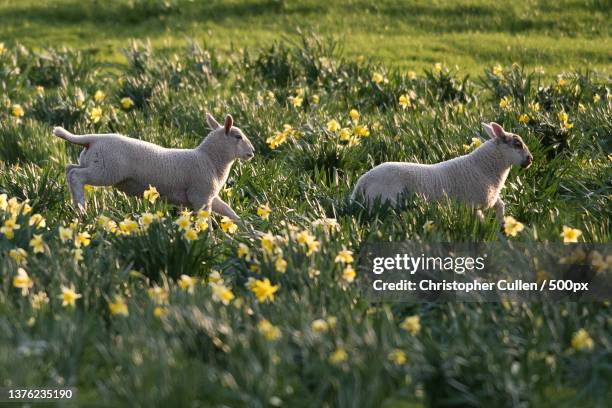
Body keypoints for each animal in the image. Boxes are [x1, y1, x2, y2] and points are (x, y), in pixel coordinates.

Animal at [52, 111, 253, 220]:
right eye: (238, 136)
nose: (252, 151)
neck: (210, 159)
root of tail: (93, 139)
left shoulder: (209, 196)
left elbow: (229, 211)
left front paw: (249, 231)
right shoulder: (201, 196)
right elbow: (208, 222)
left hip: (93, 164)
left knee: (70, 169)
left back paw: (77, 207)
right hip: (105, 171)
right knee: (76, 176)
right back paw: (81, 208)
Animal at [352, 121, 532, 223]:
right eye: (517, 144)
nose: (530, 160)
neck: (484, 167)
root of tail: (363, 180)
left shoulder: (491, 199)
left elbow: (501, 206)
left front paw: (503, 226)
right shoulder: (472, 205)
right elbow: (481, 222)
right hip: (385, 203)